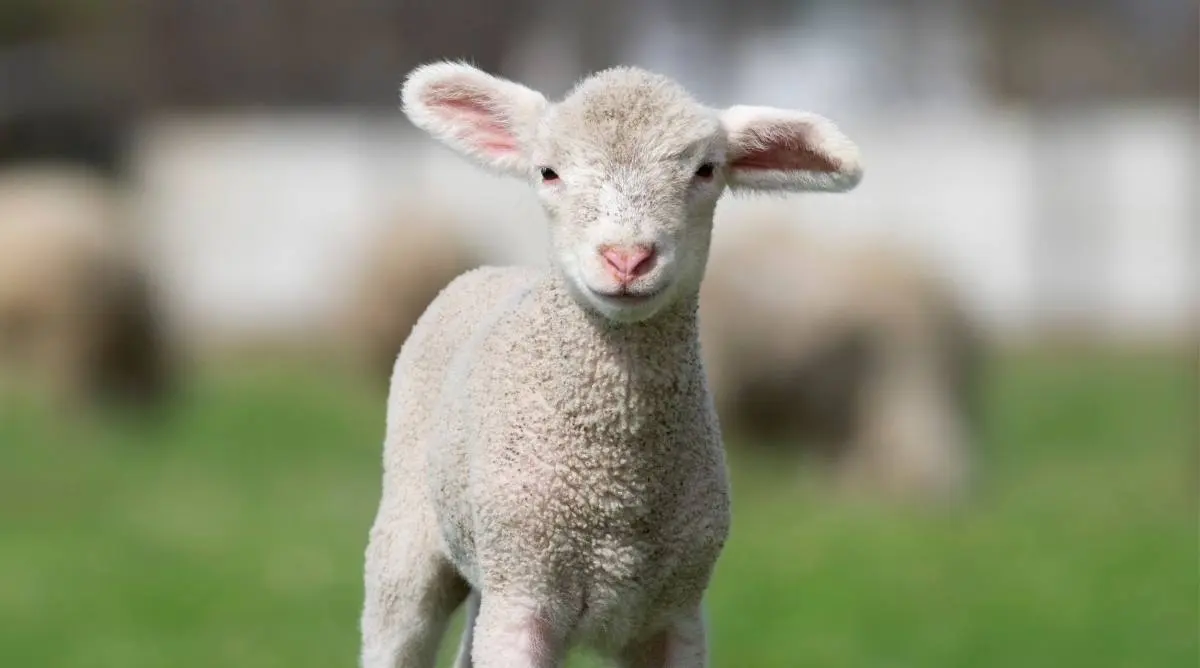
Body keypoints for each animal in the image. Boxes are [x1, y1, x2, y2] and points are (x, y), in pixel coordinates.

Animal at [360, 61, 863, 668]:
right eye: (548, 172)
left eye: (706, 170)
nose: (627, 258)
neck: (615, 493)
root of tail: (495, 270)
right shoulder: (524, 595)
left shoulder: (675, 613)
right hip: (411, 538)